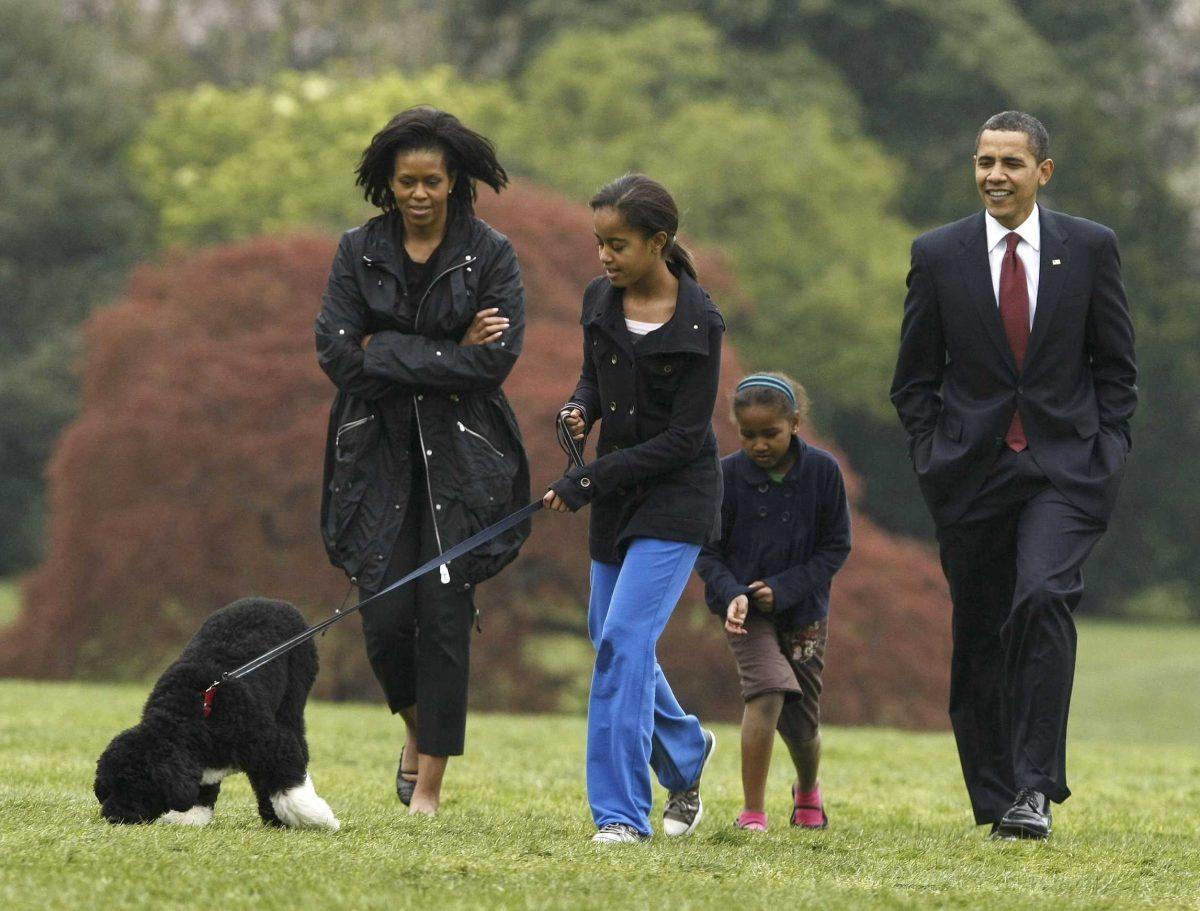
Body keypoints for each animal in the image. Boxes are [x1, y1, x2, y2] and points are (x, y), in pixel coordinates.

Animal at [91, 597, 338, 835]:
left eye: (138, 785)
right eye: (108, 787)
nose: (114, 817)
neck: (195, 714)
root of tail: (275, 602)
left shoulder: (273, 745)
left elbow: (291, 789)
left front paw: (320, 820)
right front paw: (188, 817)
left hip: (293, 699)